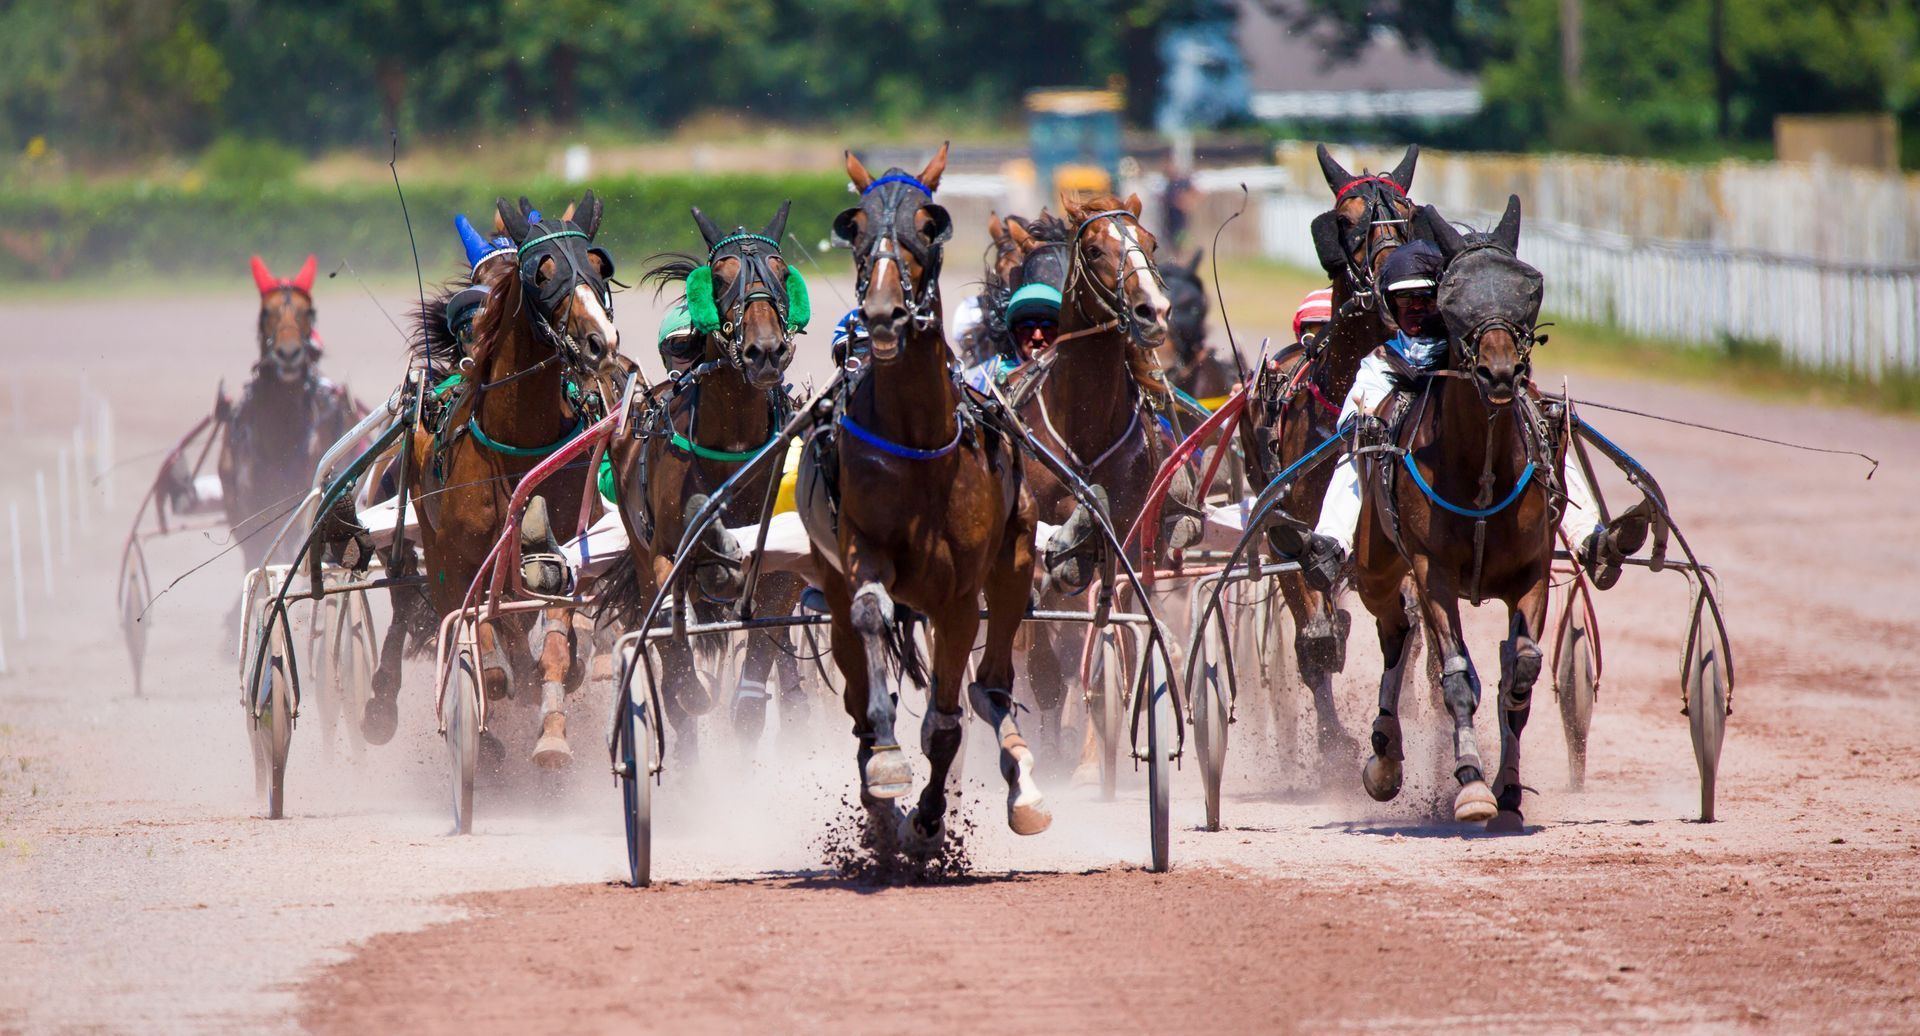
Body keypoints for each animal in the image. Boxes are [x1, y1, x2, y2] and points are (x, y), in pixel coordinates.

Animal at [391, 193, 621, 768]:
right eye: (541, 271)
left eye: (598, 264)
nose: (600, 342)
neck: (517, 442)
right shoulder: (460, 559)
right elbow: (489, 652)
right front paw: (490, 710)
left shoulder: (566, 552)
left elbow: (557, 643)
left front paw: (552, 735)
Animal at [604, 202, 807, 757]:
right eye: (719, 277)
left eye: (781, 271)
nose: (766, 351)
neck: (731, 453)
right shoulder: (659, 554)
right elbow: (675, 663)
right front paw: (690, 691)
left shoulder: (780, 557)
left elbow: (756, 677)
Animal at [796, 144, 1047, 846]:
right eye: (853, 226)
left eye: (929, 225)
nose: (883, 314)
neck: (917, 443)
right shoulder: (859, 550)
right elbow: (869, 616)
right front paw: (886, 767)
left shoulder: (959, 594)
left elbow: (945, 723)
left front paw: (932, 816)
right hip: (831, 581)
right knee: (859, 689)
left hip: (1015, 559)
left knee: (990, 687)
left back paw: (1019, 784)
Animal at [1239, 143, 1419, 761]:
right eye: (1345, 221)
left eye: (1408, 213)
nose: (1394, 278)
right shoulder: (1288, 529)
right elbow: (1314, 640)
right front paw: (1335, 748)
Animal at [1352, 197, 1556, 832]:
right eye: (1451, 295)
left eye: (1530, 286)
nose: (1499, 372)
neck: (1480, 473)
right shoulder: (1433, 573)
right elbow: (1457, 678)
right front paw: (1470, 784)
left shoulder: (1533, 573)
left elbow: (1521, 672)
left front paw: (1508, 790)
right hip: (1374, 563)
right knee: (1396, 629)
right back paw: (1385, 756)